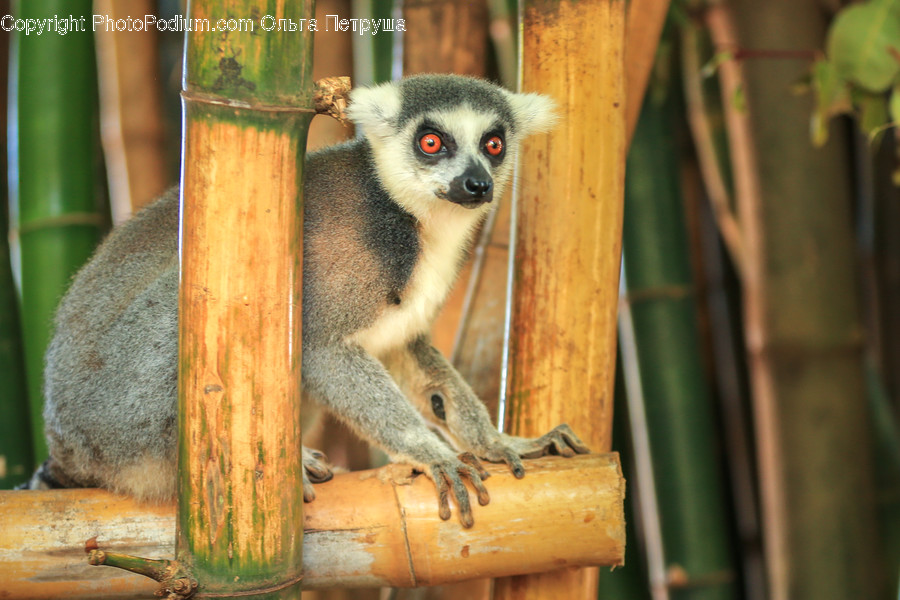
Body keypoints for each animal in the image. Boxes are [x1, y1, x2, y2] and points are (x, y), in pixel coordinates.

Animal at [31, 74, 589, 527]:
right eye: (432, 142)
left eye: (493, 144)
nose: (477, 184)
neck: (415, 221)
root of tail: (64, 442)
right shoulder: (345, 261)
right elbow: (321, 347)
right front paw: (431, 453)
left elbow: (406, 352)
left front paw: (496, 443)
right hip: (116, 411)